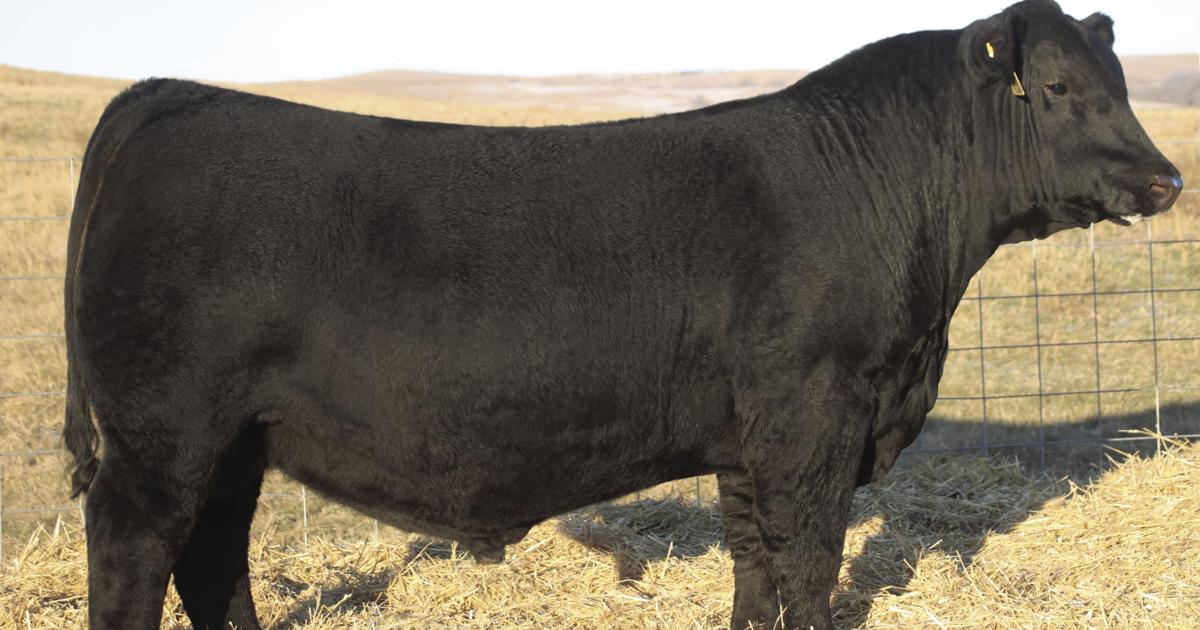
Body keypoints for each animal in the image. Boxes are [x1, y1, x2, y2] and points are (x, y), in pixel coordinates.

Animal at [63, 1, 1182, 628]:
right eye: (1055, 86)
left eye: (1120, 80)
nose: (1166, 178)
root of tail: (172, 94)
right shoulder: (813, 418)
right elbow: (810, 561)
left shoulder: (745, 435)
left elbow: (755, 563)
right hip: (162, 437)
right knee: (134, 556)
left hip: (234, 442)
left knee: (213, 559)